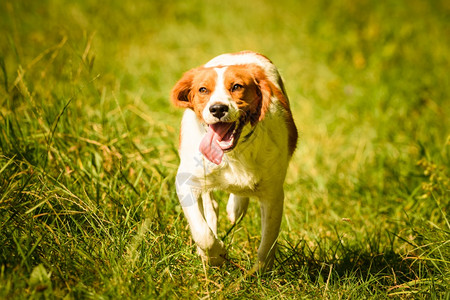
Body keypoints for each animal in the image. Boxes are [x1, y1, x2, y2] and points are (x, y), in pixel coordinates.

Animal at [171, 50, 298, 270]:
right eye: (203, 89)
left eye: (237, 86)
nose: (217, 109)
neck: (234, 153)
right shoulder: (185, 181)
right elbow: (202, 233)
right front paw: (215, 256)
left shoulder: (273, 194)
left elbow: (267, 243)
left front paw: (258, 273)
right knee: (210, 207)